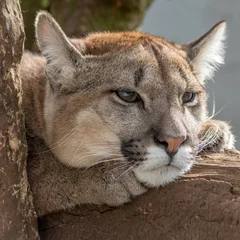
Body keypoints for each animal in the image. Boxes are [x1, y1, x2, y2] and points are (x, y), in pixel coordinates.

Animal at [20, 12, 234, 217]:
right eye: (128, 95)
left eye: (188, 96)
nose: (175, 142)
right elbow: (40, 168)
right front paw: (110, 177)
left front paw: (211, 131)